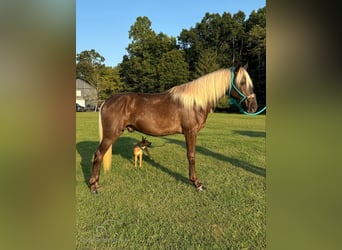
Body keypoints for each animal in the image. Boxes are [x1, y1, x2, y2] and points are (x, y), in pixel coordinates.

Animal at [89, 64, 258, 193]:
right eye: (242, 82)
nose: (253, 106)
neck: (195, 101)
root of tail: (107, 101)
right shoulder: (190, 132)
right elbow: (191, 156)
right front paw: (197, 183)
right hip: (110, 135)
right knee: (98, 155)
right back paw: (93, 186)